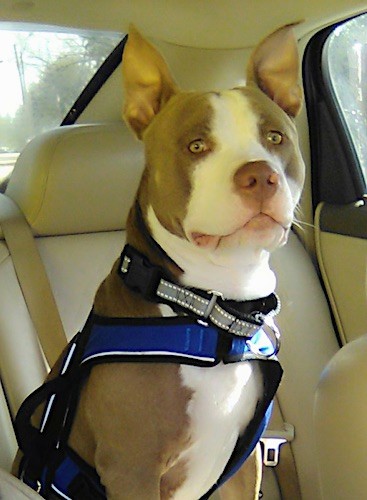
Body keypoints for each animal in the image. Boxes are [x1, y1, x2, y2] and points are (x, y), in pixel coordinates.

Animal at [15, 24, 304, 500]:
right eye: (196, 145)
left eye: (275, 137)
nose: (260, 175)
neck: (209, 310)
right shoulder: (133, 469)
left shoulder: (245, 465)